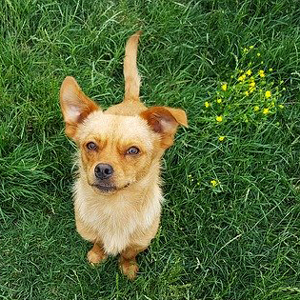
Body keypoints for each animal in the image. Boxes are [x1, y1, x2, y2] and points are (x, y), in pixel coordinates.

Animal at [59, 31, 188, 278]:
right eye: (90, 145)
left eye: (133, 150)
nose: (102, 169)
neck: (114, 208)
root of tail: (131, 100)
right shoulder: (90, 232)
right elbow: (98, 242)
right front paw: (97, 256)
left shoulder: (140, 242)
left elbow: (128, 253)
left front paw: (127, 268)